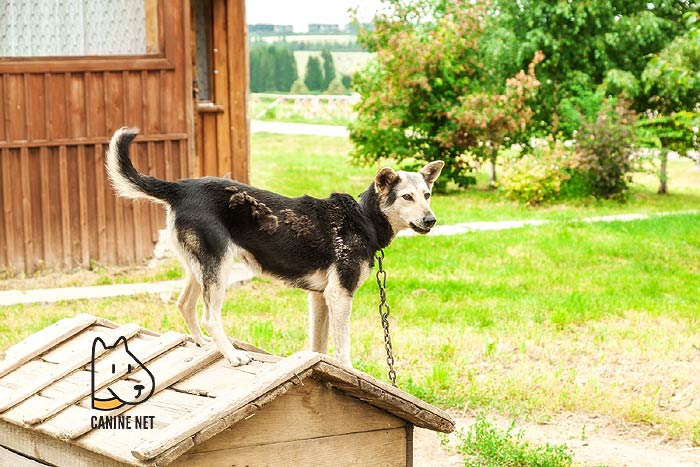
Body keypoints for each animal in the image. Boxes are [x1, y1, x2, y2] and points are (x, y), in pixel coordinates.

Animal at [104, 128, 442, 370]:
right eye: (406, 197)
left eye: (427, 194)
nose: (431, 220)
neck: (363, 218)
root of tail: (180, 187)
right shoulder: (340, 295)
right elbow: (343, 346)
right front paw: (348, 370)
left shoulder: (319, 298)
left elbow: (318, 346)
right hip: (220, 267)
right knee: (211, 316)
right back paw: (232, 355)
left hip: (198, 267)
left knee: (185, 305)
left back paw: (205, 346)